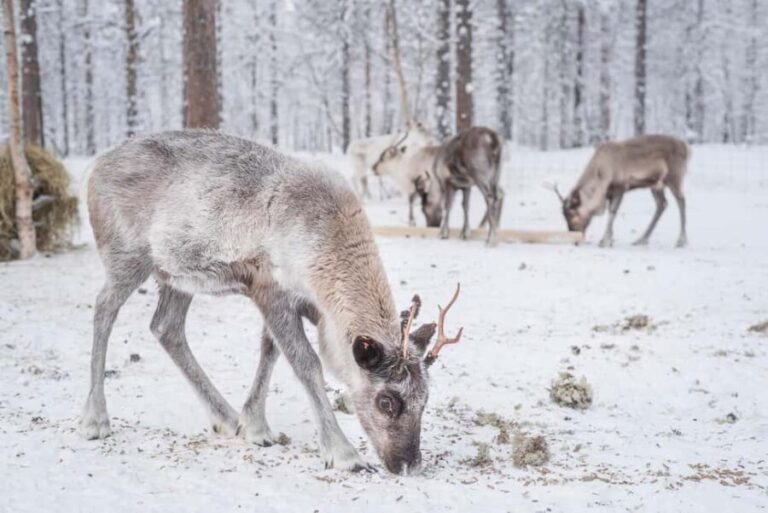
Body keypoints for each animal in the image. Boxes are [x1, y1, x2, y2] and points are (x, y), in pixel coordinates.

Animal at [79, 130, 465, 475]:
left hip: (176, 275)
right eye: (387, 401)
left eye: (425, 399)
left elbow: (270, 352)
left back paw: (225, 417)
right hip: (127, 256)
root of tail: (96, 166)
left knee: (165, 327)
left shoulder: (298, 302)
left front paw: (254, 425)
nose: (409, 465)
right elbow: (306, 363)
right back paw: (95, 418)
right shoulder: (269, 289)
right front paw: (343, 454)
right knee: (103, 309)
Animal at [374, 126, 504, 246]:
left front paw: (443, 232)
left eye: (424, 210)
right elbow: (465, 206)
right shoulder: (466, 185)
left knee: (490, 197)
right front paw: (464, 233)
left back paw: (491, 238)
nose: (373, 167)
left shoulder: (444, 181)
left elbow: (446, 206)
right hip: (495, 174)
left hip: (480, 174)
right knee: (499, 194)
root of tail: (493, 139)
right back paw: (493, 229)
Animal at [549, 134, 689, 248]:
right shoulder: (610, 193)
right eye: (565, 216)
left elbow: (612, 213)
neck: (601, 175)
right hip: (656, 185)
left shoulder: (620, 187)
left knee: (681, 201)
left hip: (674, 177)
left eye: (573, 214)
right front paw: (609, 239)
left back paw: (681, 241)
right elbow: (611, 214)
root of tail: (687, 149)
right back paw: (641, 239)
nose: (575, 240)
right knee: (662, 204)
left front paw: (605, 241)